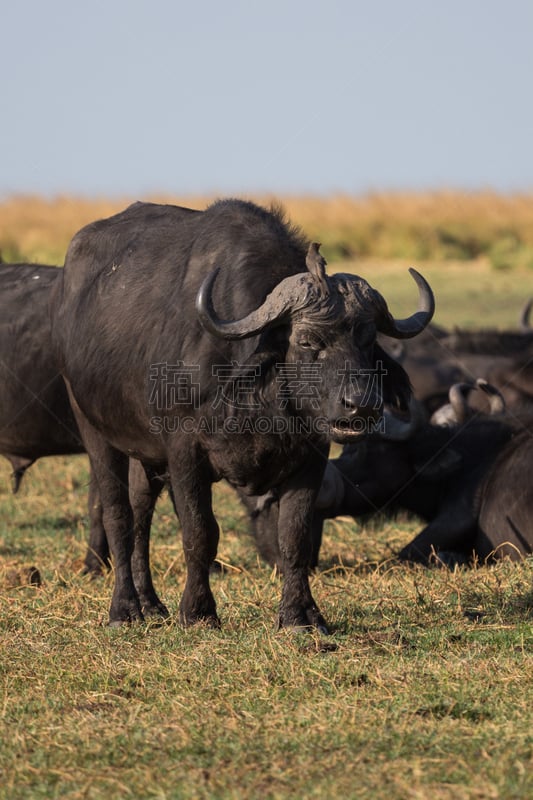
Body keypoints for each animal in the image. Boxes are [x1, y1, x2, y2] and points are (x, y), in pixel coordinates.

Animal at [51, 198, 432, 632]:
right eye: (307, 341)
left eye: (368, 340)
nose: (361, 405)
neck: (255, 393)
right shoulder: (184, 451)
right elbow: (199, 532)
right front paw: (198, 611)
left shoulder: (311, 457)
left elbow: (294, 536)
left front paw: (300, 614)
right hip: (94, 428)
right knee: (118, 514)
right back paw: (124, 609)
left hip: (144, 452)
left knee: (141, 510)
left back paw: (151, 603)